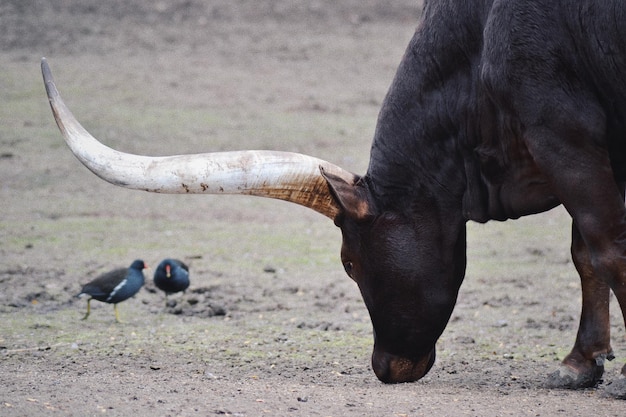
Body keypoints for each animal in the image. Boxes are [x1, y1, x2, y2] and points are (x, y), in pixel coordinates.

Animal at [41, 0, 624, 396]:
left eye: (348, 262)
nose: (385, 368)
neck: (478, 44)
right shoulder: (576, 148)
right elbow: (585, 254)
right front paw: (580, 363)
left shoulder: (565, 139)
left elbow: (606, 251)